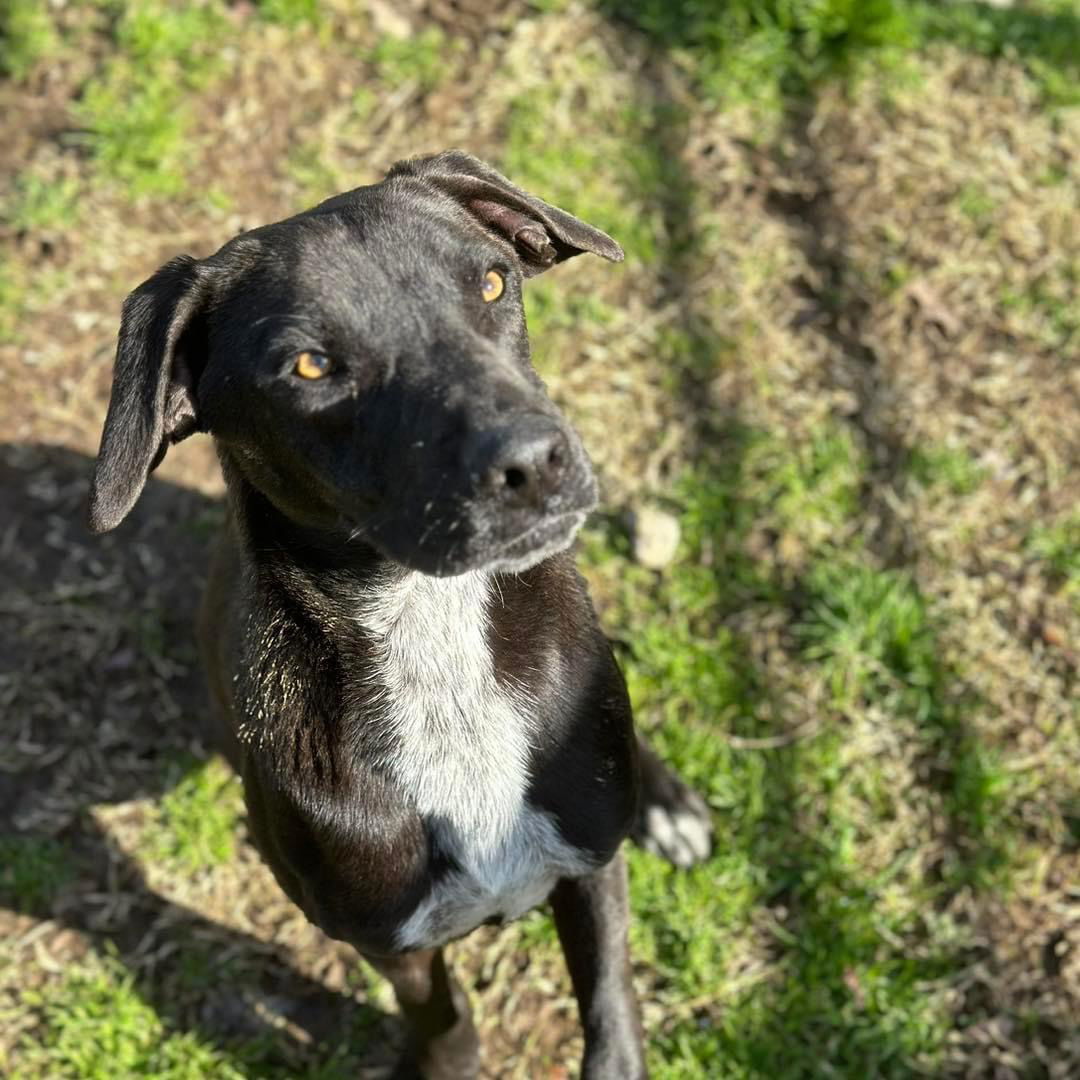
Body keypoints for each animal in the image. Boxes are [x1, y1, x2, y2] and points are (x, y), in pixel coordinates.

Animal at [88, 152, 712, 1080]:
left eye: (492, 282)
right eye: (310, 367)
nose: (537, 461)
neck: (433, 635)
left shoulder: (593, 870)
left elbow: (609, 1013)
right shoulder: (390, 940)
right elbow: (441, 1017)